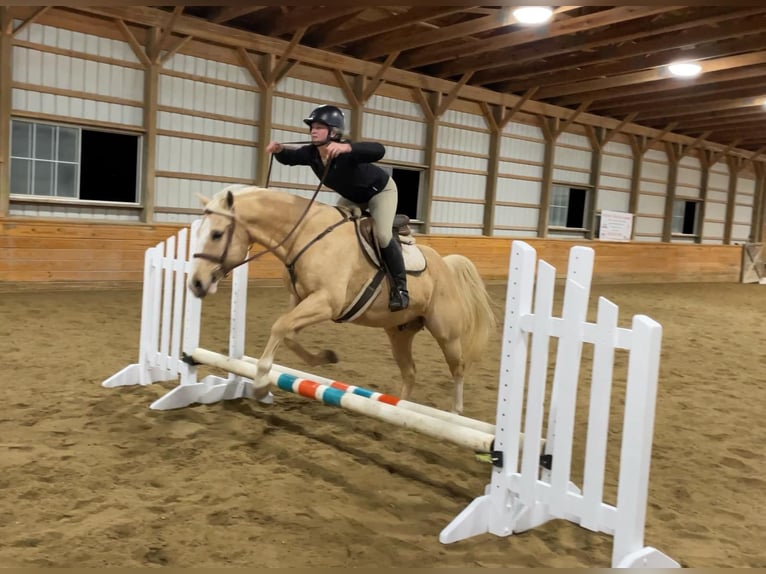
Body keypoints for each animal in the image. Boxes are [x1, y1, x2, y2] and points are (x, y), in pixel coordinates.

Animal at [187, 187, 498, 416]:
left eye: (216, 234)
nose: (196, 283)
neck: (306, 233)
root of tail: (445, 264)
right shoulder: (301, 300)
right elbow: (288, 334)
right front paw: (327, 357)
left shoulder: (325, 302)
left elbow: (279, 327)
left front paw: (262, 382)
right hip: (399, 332)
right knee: (409, 372)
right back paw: (395, 411)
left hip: (446, 333)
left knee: (457, 368)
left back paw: (454, 413)